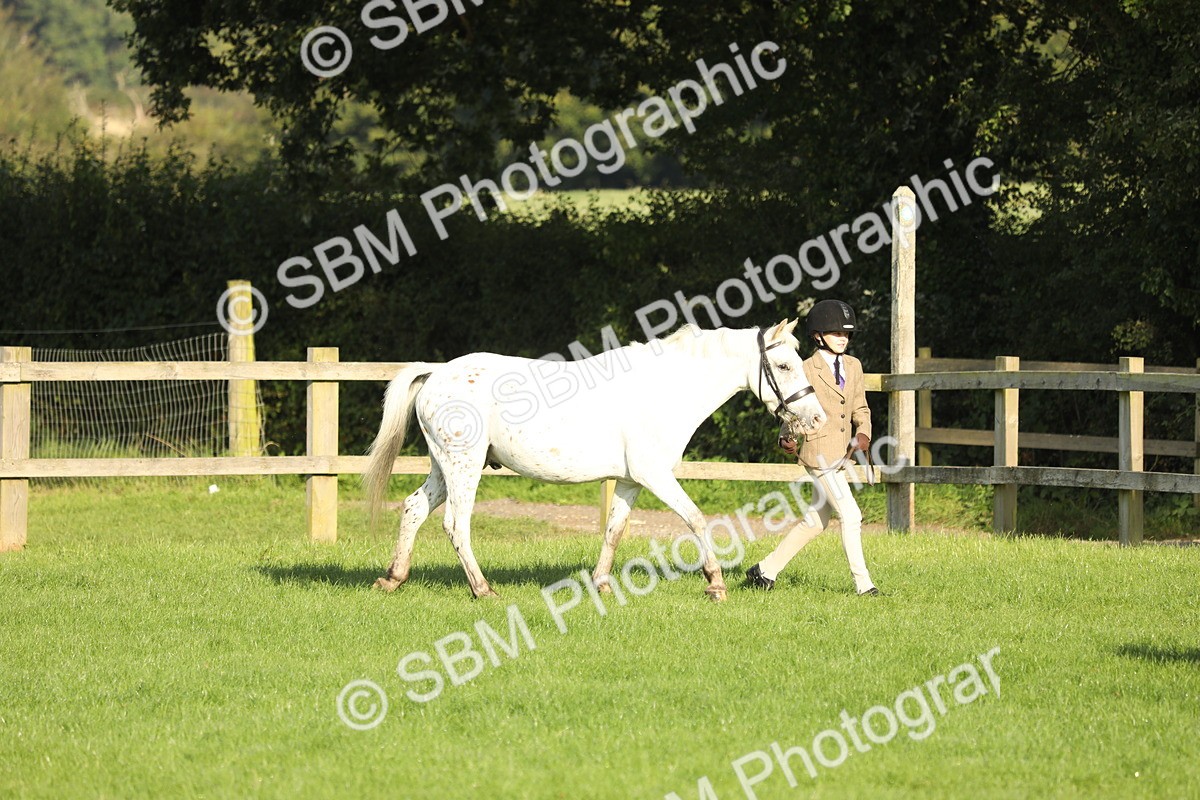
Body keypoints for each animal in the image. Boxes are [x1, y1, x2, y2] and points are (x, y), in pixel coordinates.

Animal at [363, 319, 826, 602]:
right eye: (783, 365)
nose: (816, 417)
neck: (666, 389)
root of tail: (437, 373)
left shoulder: (631, 480)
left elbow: (614, 529)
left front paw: (602, 584)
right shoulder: (655, 475)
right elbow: (696, 519)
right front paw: (715, 584)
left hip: (444, 467)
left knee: (414, 508)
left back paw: (392, 578)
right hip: (464, 466)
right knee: (455, 524)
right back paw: (483, 589)